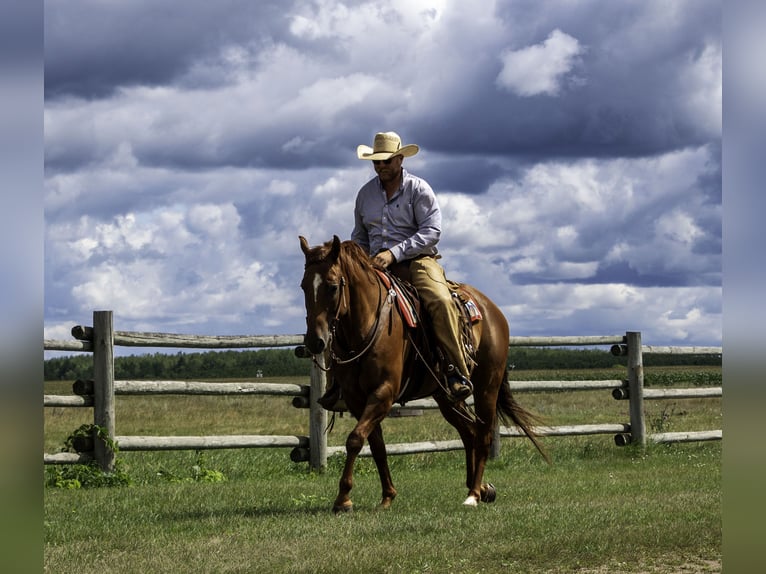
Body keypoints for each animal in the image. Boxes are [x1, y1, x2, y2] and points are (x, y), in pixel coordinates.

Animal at [298, 236, 544, 516]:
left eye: (331, 287)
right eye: (304, 286)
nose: (315, 341)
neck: (366, 323)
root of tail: (492, 310)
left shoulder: (383, 393)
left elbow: (355, 439)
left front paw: (343, 498)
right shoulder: (356, 398)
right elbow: (376, 444)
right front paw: (387, 496)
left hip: (486, 387)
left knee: (483, 435)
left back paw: (473, 494)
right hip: (447, 397)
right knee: (469, 432)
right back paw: (480, 489)